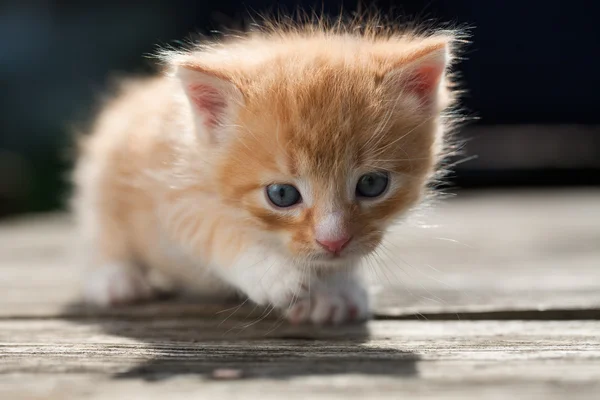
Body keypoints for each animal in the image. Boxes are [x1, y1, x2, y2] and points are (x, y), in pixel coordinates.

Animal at [72, 16, 462, 324]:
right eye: (282, 194)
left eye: (371, 184)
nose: (333, 241)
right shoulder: (171, 190)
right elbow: (214, 230)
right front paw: (275, 274)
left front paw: (338, 289)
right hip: (103, 174)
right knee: (102, 233)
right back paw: (114, 278)